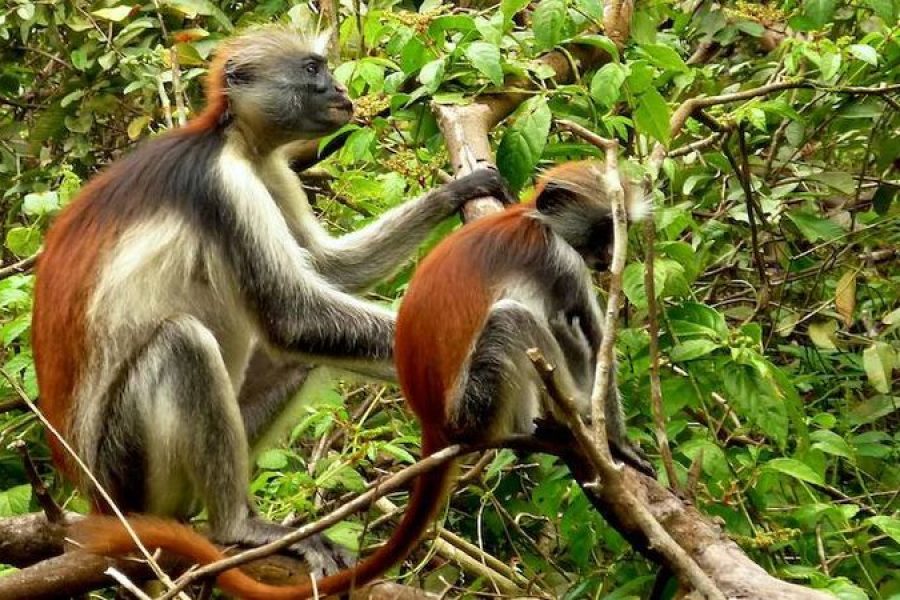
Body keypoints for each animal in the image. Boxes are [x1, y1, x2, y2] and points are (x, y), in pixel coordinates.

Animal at [33, 25, 514, 577]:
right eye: (312, 70)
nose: (339, 90)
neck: (235, 141)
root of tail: (96, 497)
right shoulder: (224, 186)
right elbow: (293, 317)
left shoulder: (270, 170)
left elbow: (329, 270)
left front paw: (458, 191)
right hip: (125, 467)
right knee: (184, 342)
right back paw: (236, 526)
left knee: (295, 358)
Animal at [72, 160, 652, 599]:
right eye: (603, 230)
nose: (608, 256)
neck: (529, 218)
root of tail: (435, 421)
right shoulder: (560, 259)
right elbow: (589, 334)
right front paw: (616, 443)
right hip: (476, 400)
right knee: (519, 320)